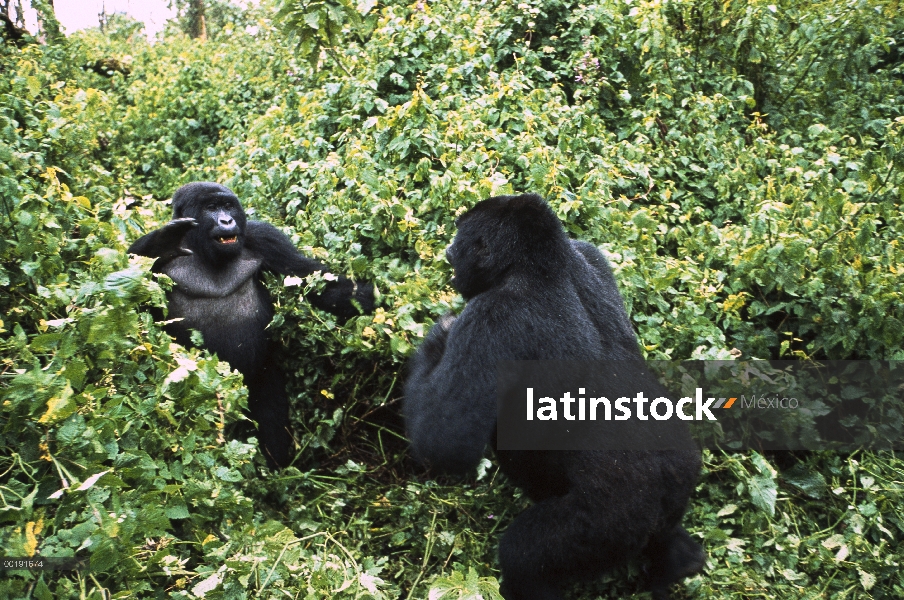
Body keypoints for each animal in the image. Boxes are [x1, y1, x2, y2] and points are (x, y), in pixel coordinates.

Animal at [128, 183, 374, 468]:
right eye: (211, 208)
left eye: (228, 206)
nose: (226, 220)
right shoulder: (146, 252)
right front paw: (162, 242)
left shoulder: (265, 238)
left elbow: (321, 284)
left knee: (271, 420)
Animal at [404, 195, 708, 600]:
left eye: (459, 245)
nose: (449, 253)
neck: (541, 263)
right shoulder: (590, 252)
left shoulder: (490, 318)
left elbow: (445, 443)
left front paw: (440, 334)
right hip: (680, 479)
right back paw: (677, 557)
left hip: (610, 522)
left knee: (524, 555)